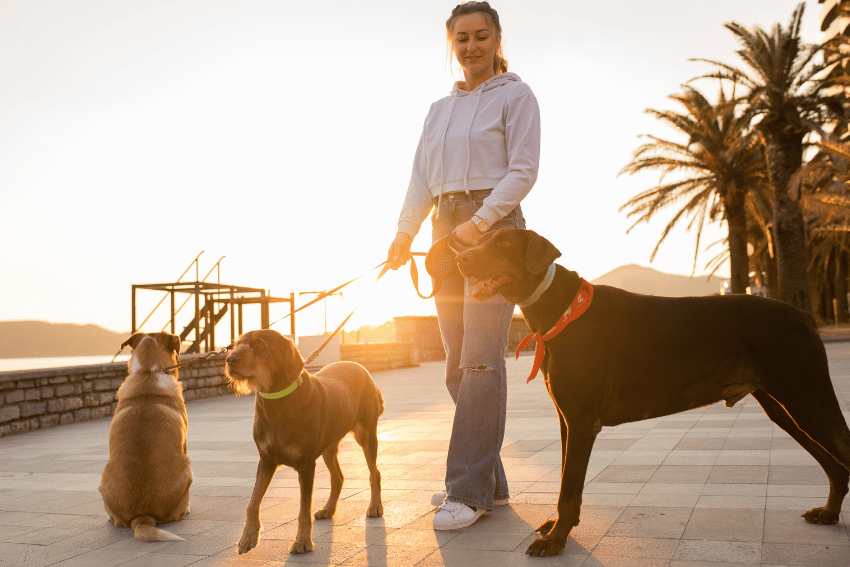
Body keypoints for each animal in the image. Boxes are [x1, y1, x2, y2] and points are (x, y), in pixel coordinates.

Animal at [225, 328, 384, 556]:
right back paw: (328, 509)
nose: (230, 359)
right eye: (236, 344)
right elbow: (253, 501)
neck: (277, 402)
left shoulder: (306, 465)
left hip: (366, 434)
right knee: (338, 477)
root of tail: (360, 367)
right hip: (328, 446)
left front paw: (302, 541)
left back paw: (375, 507)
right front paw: (248, 537)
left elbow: (303, 508)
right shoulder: (266, 460)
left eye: (261, 346)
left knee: (374, 473)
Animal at [460, 229, 848, 556]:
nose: (460, 255)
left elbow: (569, 488)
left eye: (504, 243)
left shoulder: (582, 422)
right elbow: (564, 478)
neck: (561, 309)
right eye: (484, 239)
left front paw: (556, 541)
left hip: (807, 398)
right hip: (784, 407)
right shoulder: (566, 419)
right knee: (834, 466)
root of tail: (804, 315)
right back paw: (829, 513)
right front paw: (559, 528)